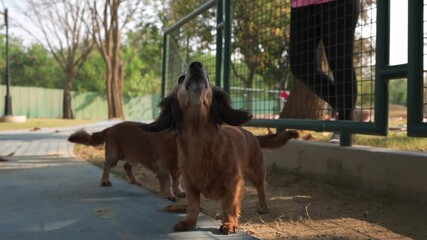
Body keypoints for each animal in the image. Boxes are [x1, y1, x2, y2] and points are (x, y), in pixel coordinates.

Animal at [145, 62, 300, 234]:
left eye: (208, 76)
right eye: (180, 78)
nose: (196, 64)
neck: (200, 139)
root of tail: (251, 134)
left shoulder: (234, 184)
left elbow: (229, 206)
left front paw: (229, 223)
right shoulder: (190, 185)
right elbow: (193, 206)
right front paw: (189, 222)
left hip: (256, 172)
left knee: (261, 188)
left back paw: (263, 206)